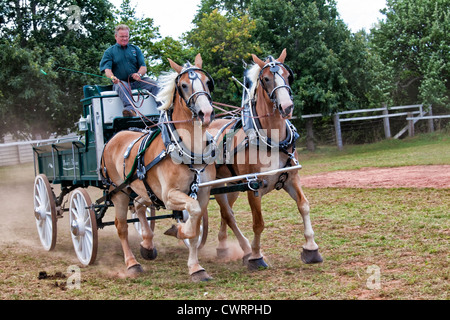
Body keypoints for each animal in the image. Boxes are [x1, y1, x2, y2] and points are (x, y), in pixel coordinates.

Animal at [100, 53, 216, 282]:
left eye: (207, 82)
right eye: (184, 85)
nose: (206, 113)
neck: (188, 150)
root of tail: (113, 138)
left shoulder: (203, 193)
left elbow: (196, 224)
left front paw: (196, 267)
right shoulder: (169, 195)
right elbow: (192, 217)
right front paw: (180, 231)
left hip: (143, 190)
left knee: (138, 205)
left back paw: (147, 244)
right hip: (118, 192)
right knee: (121, 227)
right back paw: (132, 263)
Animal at [209, 49, 322, 270]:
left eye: (288, 76)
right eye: (266, 79)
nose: (287, 107)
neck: (272, 141)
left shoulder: (291, 179)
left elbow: (304, 206)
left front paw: (311, 248)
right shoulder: (254, 188)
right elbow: (258, 223)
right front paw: (256, 256)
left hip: (232, 186)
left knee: (226, 213)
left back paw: (223, 246)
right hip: (214, 185)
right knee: (228, 214)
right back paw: (244, 250)